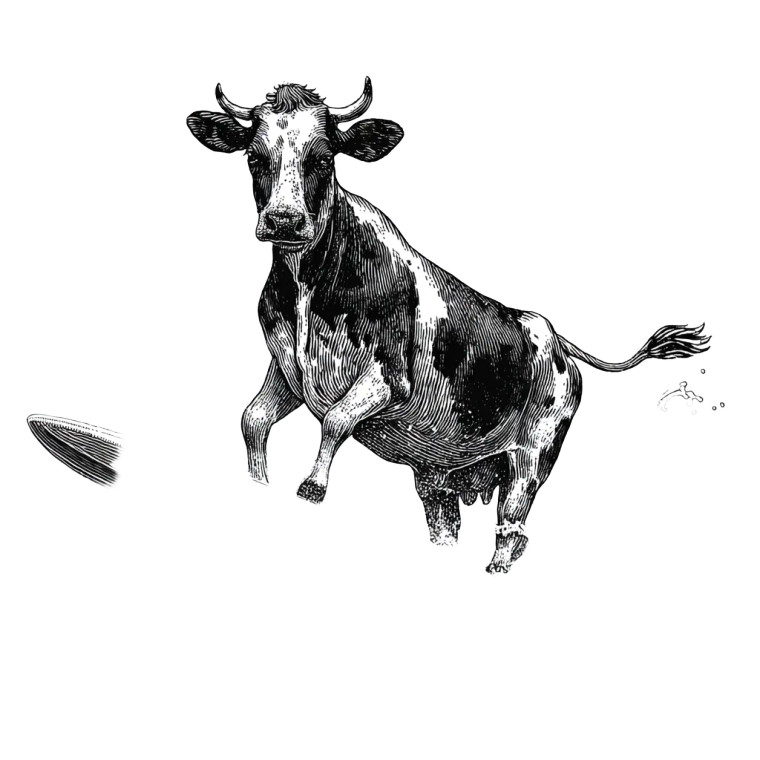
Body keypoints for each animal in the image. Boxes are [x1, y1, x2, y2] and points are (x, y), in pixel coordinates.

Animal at [187, 78, 709, 574]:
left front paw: (313, 484)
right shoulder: (287, 370)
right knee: (448, 525)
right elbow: (253, 419)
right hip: (438, 477)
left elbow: (335, 418)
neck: (307, 288)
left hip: (532, 457)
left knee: (513, 529)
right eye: (254, 158)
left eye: (323, 158)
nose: (284, 221)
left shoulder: (389, 377)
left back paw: (496, 568)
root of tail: (555, 338)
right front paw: (258, 482)